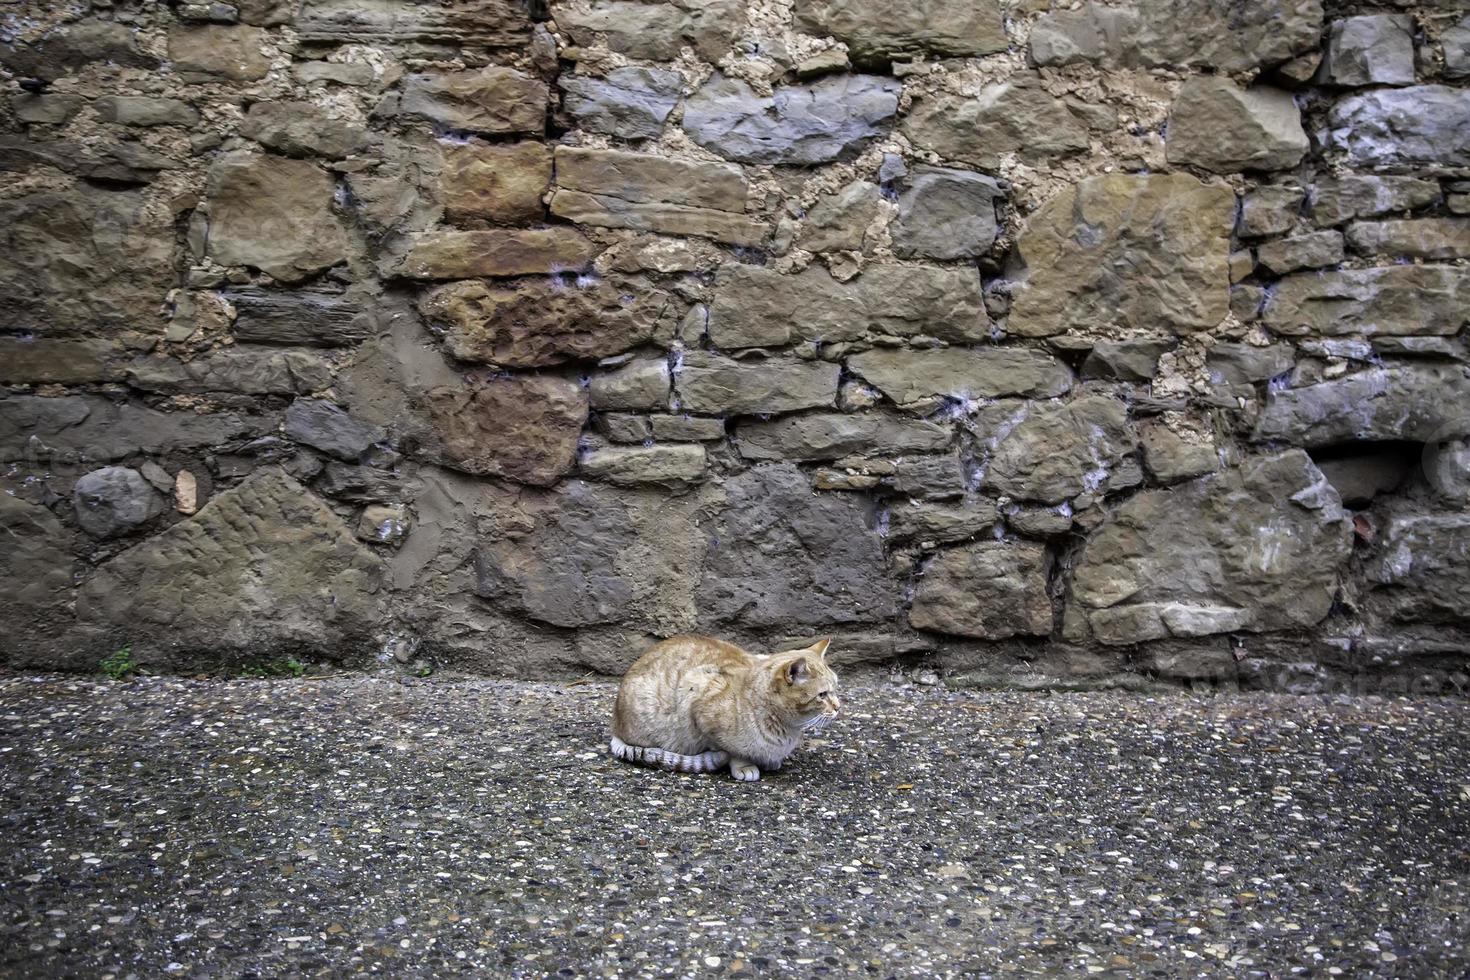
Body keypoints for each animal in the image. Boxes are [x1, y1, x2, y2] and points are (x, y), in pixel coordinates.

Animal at [608, 637, 840, 781]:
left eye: (836, 688)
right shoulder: (699, 702)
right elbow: (733, 751)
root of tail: (616, 725)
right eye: (822, 695)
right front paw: (745, 765)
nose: (839, 707)